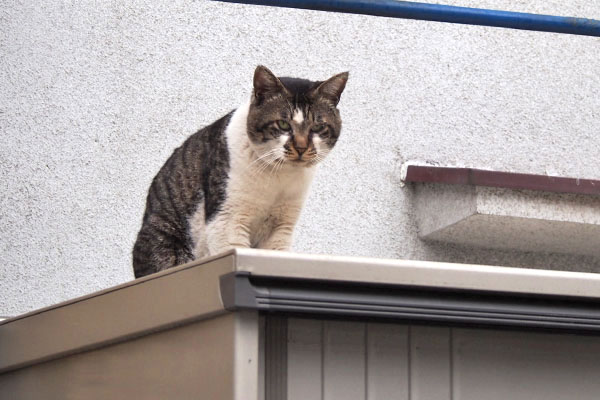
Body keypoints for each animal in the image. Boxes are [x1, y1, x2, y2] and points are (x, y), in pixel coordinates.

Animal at [131, 65, 346, 278]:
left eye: (317, 127)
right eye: (283, 124)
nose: (301, 147)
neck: (279, 177)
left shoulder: (281, 227)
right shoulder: (227, 219)